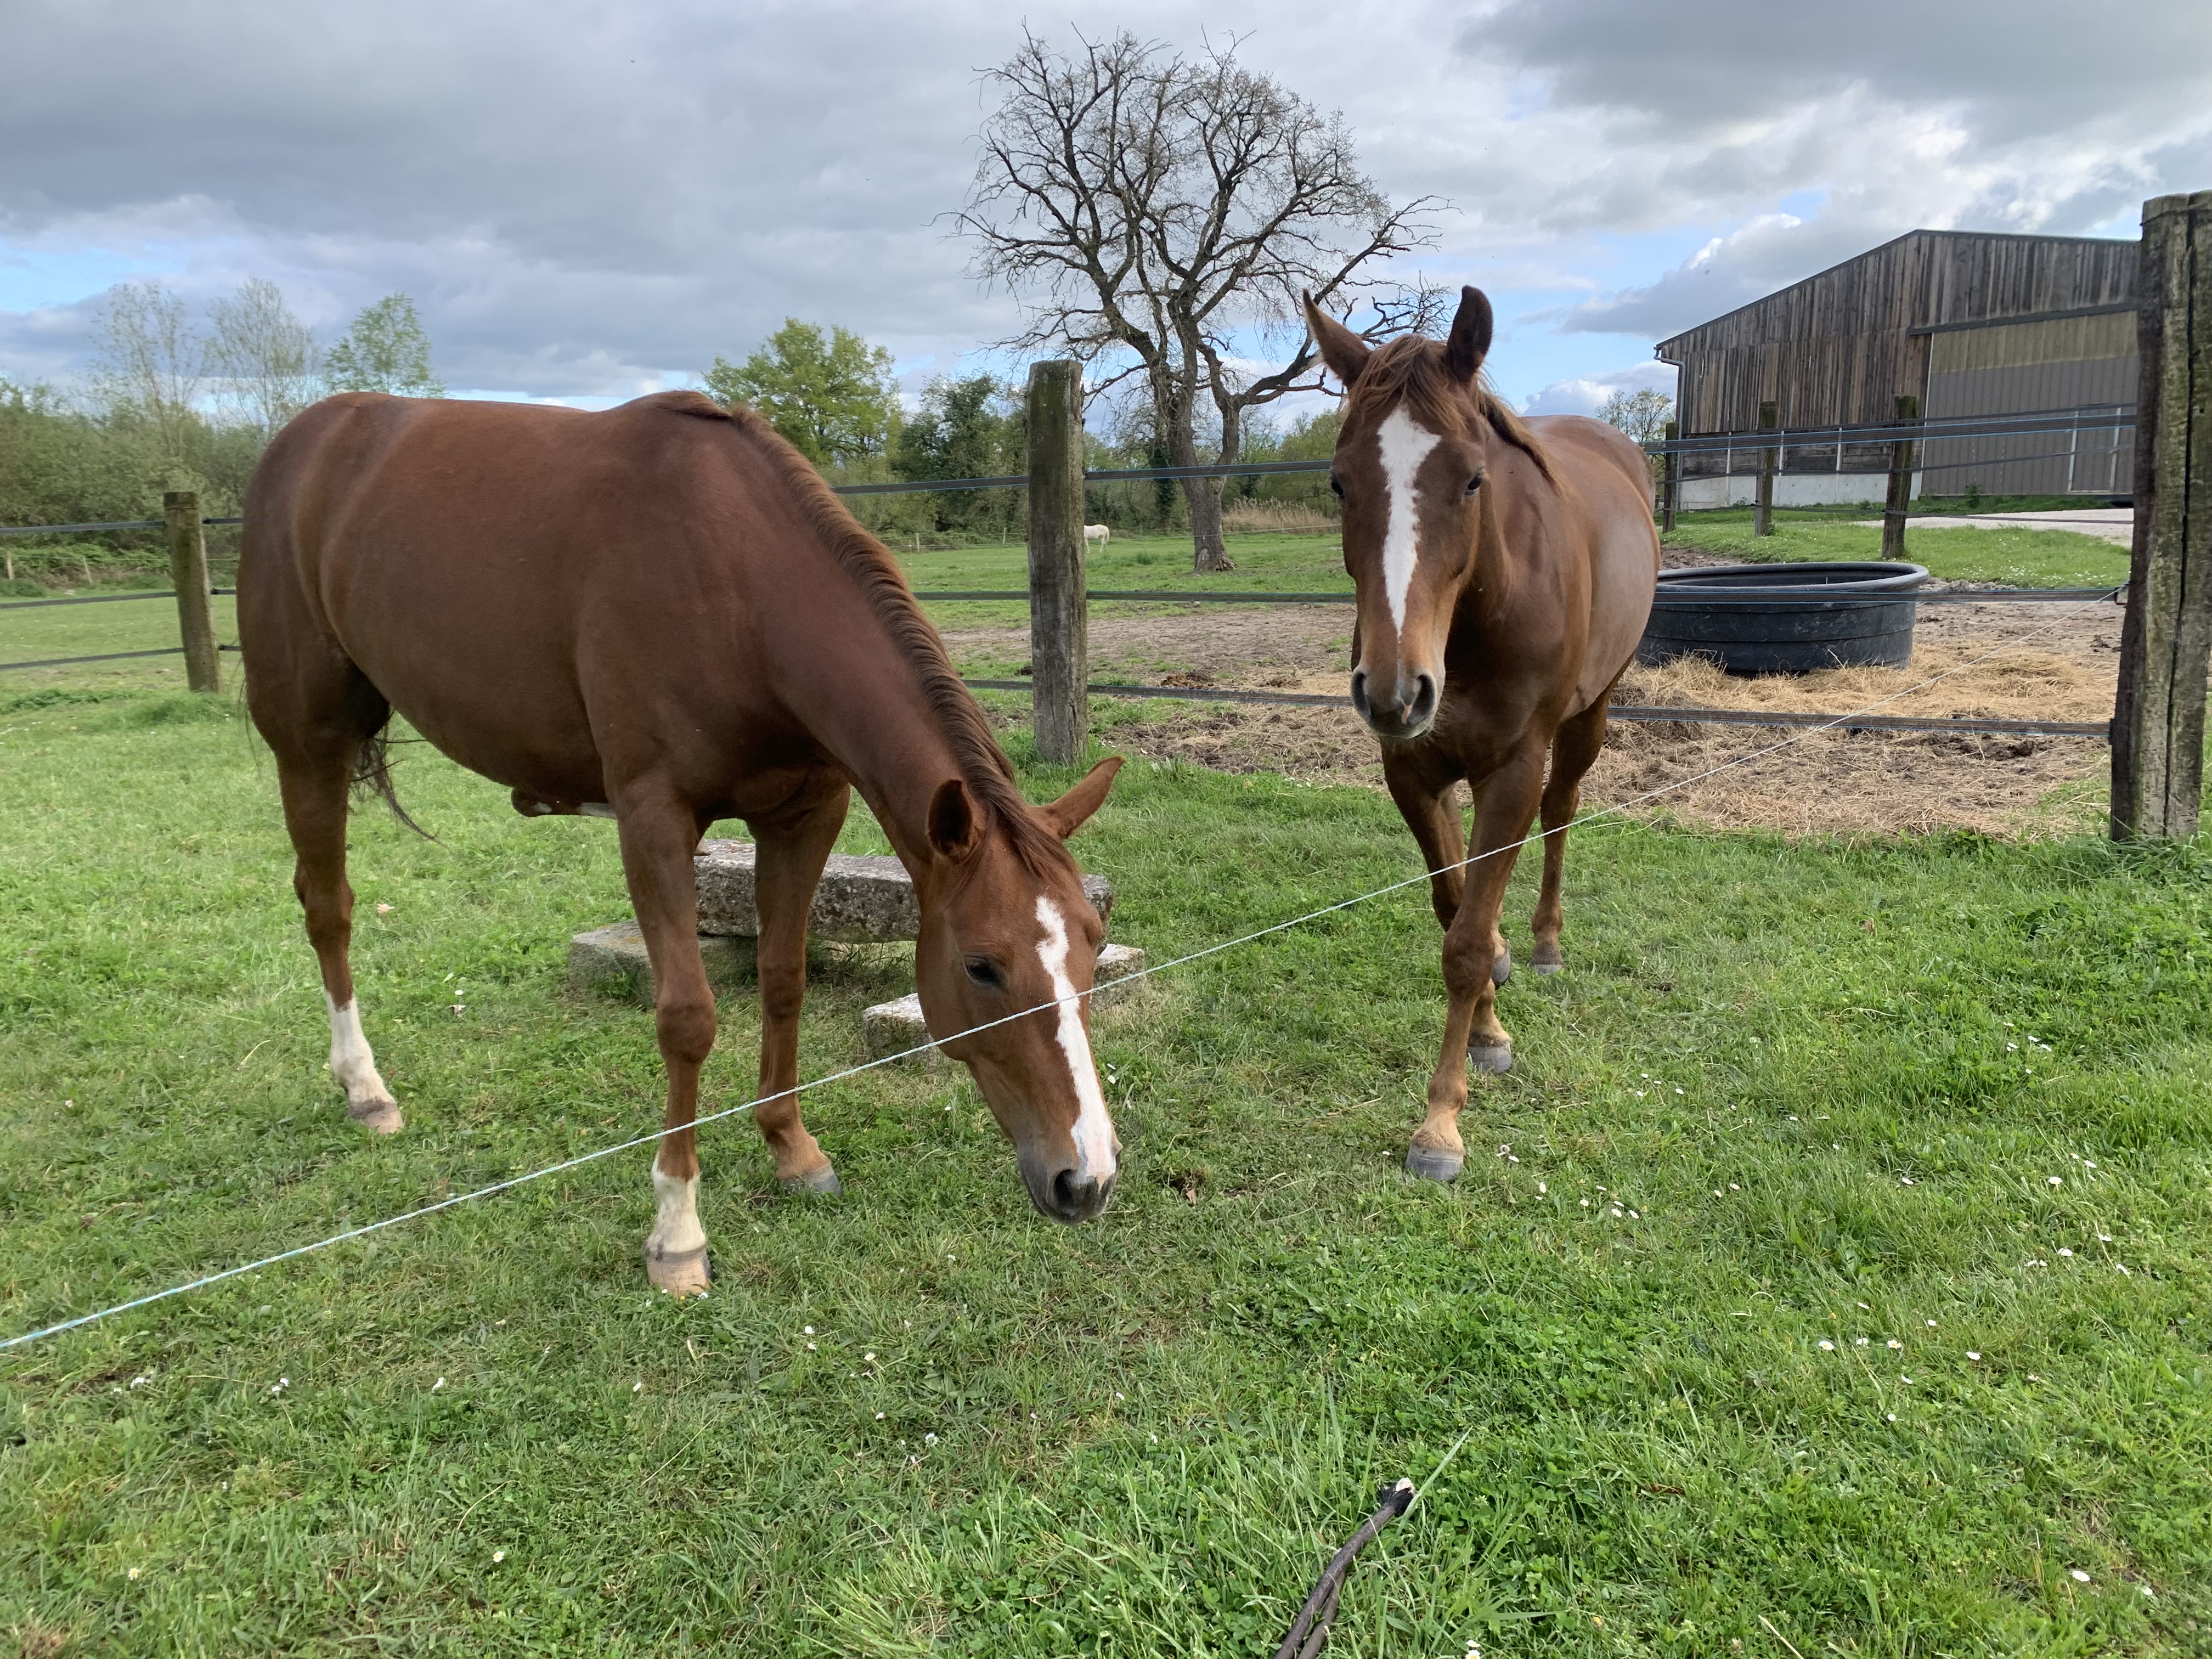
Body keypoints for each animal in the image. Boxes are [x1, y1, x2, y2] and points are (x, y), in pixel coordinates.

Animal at [238, 389, 1126, 1296]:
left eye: (1094, 946)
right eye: (981, 967)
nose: (1086, 1179)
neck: (737, 589)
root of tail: (308, 438)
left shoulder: (806, 815)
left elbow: (783, 979)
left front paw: (792, 1150)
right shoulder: (654, 819)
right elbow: (688, 1019)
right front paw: (677, 1232)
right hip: (307, 741)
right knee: (328, 907)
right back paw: (365, 1089)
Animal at [1302, 287, 1658, 1183]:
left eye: (1471, 479)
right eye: (1339, 482)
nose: (1393, 690)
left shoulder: (1514, 770)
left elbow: (1463, 942)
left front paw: (1439, 1125)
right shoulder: (1411, 768)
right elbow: (1452, 906)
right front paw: (1490, 1027)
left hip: (1589, 717)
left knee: (1560, 817)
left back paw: (1541, 943)